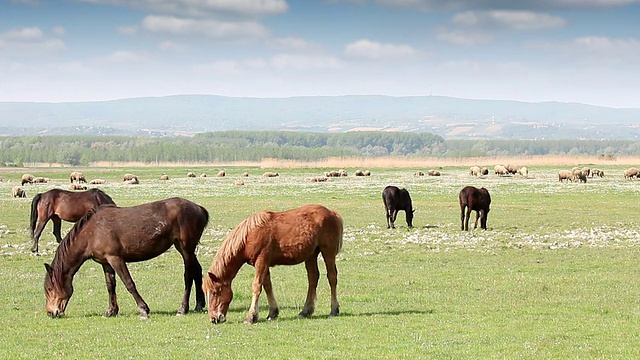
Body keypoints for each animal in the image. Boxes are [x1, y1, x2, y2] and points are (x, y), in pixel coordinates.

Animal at [43, 198, 209, 320]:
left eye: (50, 289)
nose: (50, 312)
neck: (92, 232)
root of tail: (199, 208)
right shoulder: (106, 263)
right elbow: (110, 285)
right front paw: (111, 311)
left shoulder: (116, 259)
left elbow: (129, 283)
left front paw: (143, 309)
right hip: (185, 248)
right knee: (197, 270)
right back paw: (199, 304)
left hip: (186, 248)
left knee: (188, 275)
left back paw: (183, 308)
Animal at [205, 204, 344, 324]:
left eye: (215, 292)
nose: (214, 318)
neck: (250, 235)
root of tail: (333, 213)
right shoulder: (264, 264)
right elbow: (267, 286)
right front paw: (272, 313)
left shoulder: (261, 261)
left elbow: (257, 286)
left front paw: (251, 317)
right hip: (311, 255)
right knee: (313, 278)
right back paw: (305, 311)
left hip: (328, 253)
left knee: (332, 277)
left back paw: (333, 310)